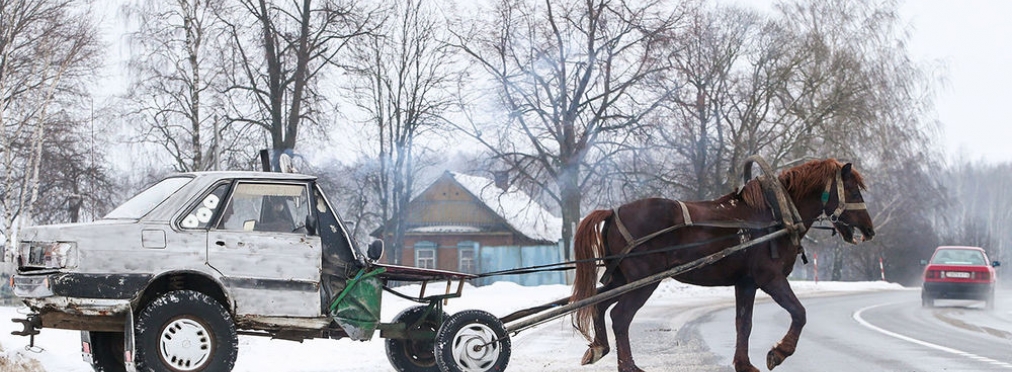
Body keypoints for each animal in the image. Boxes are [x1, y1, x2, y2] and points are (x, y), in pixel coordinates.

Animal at [574, 157, 874, 372]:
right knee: (620, 316)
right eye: (851, 189)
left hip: (622, 279)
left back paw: (599, 347)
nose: (869, 230)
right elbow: (799, 313)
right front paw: (778, 353)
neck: (775, 214)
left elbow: (744, 323)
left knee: (599, 305)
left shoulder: (746, 283)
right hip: (644, 280)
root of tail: (613, 212)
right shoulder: (770, 278)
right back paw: (629, 367)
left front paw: (744, 364)